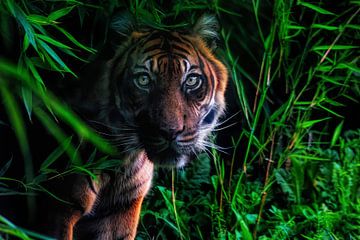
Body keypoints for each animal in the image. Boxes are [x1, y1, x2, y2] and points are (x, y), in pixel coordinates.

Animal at [51, 12, 228, 240]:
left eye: (191, 81)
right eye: (143, 80)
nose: (170, 131)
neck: (123, 160)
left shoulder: (121, 211)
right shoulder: (58, 206)